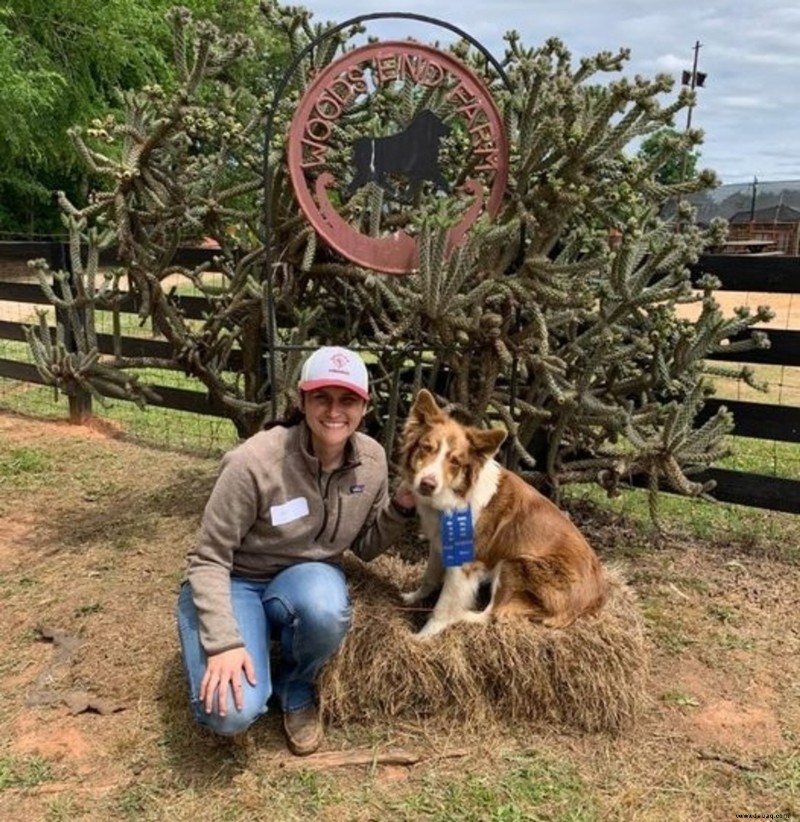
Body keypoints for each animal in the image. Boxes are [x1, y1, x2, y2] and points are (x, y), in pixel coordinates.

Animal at [400, 392, 608, 636]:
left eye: (455, 462)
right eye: (426, 448)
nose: (427, 484)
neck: (458, 494)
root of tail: (595, 598)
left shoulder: (464, 565)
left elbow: (444, 606)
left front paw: (423, 637)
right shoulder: (439, 544)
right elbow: (430, 577)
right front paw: (413, 597)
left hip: (514, 562)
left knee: (495, 613)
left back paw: (463, 616)